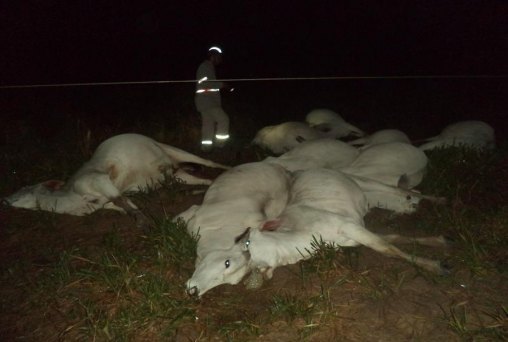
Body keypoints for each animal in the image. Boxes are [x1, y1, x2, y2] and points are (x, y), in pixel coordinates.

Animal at [3, 132, 230, 223]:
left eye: (24, 188)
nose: (3, 200)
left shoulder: (96, 179)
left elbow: (120, 199)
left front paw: (144, 222)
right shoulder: (102, 202)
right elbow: (123, 204)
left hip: (175, 150)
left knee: (210, 163)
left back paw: (229, 167)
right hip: (176, 175)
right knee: (202, 180)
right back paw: (200, 187)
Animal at [187, 167, 448, 296]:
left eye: (227, 263)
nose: (192, 290)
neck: (304, 234)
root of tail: (295, 173)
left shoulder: (349, 226)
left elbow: (388, 248)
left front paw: (435, 265)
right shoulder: (353, 234)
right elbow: (394, 238)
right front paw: (439, 241)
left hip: (363, 180)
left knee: (401, 190)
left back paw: (440, 199)